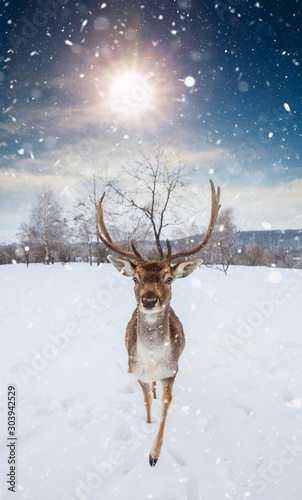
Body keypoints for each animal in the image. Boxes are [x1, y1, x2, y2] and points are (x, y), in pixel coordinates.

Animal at [95, 182, 221, 466]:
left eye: (169, 278)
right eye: (135, 279)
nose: (149, 300)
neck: (152, 361)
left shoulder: (172, 372)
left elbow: (165, 406)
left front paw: (153, 454)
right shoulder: (139, 373)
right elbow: (147, 404)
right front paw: (147, 423)